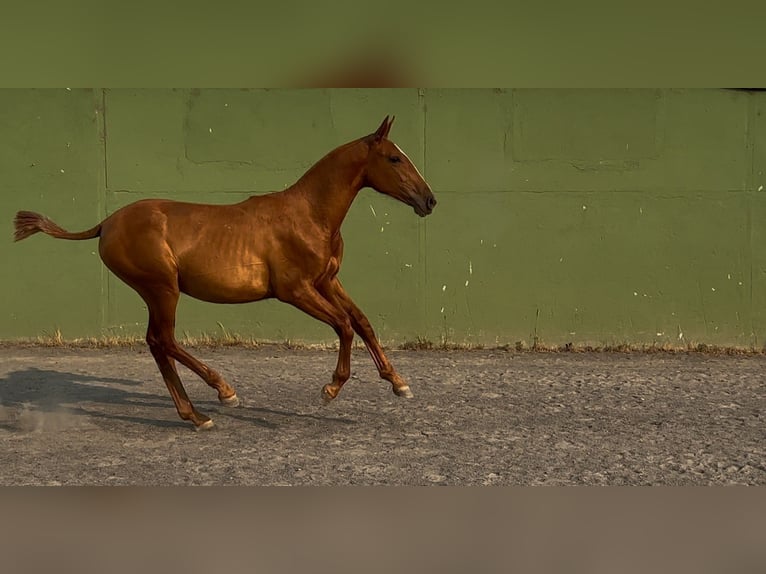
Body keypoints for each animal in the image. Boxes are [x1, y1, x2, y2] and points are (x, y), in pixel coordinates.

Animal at [13, 115, 437, 430]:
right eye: (394, 158)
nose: (429, 200)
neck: (309, 216)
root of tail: (105, 224)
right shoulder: (296, 290)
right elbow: (344, 326)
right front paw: (330, 389)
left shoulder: (327, 281)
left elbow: (362, 322)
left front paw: (399, 383)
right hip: (163, 289)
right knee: (164, 340)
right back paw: (222, 392)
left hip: (157, 292)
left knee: (156, 343)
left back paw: (196, 415)